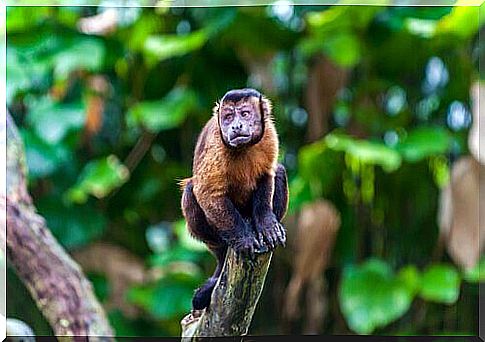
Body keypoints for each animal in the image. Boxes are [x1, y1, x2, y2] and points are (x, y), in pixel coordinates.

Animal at [181, 87, 288, 310]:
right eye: (228, 117)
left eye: (245, 114)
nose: (236, 125)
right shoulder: (216, 143)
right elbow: (207, 192)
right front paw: (243, 239)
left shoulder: (270, 134)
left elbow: (267, 175)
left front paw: (267, 225)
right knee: (190, 190)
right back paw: (224, 248)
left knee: (280, 171)